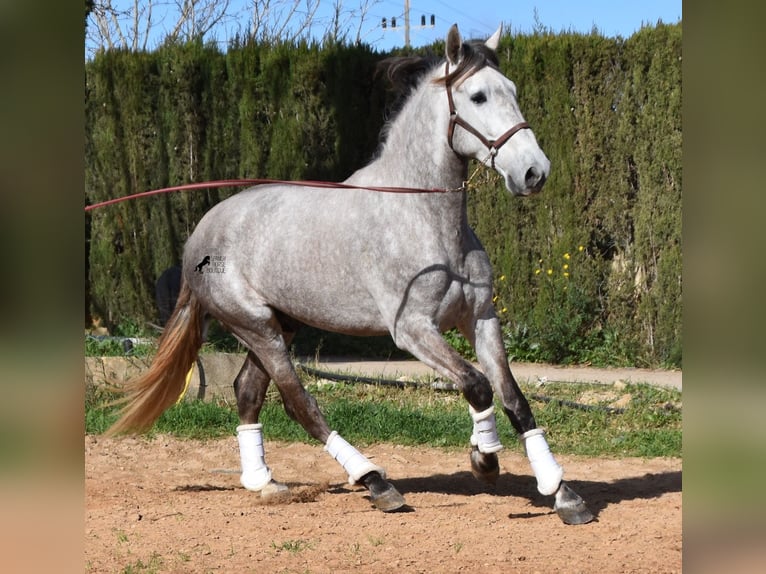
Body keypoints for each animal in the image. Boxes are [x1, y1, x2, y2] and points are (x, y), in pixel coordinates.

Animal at [111, 28, 596, 532]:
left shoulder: (480, 319)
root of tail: (200, 236)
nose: (534, 172)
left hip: (278, 324)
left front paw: (563, 493)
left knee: (247, 391)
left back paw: (264, 482)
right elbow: (477, 384)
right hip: (257, 328)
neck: (424, 219)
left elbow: (514, 398)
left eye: (513, 91)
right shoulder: (413, 331)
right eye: (477, 96)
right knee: (299, 403)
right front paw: (484, 459)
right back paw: (375, 482)